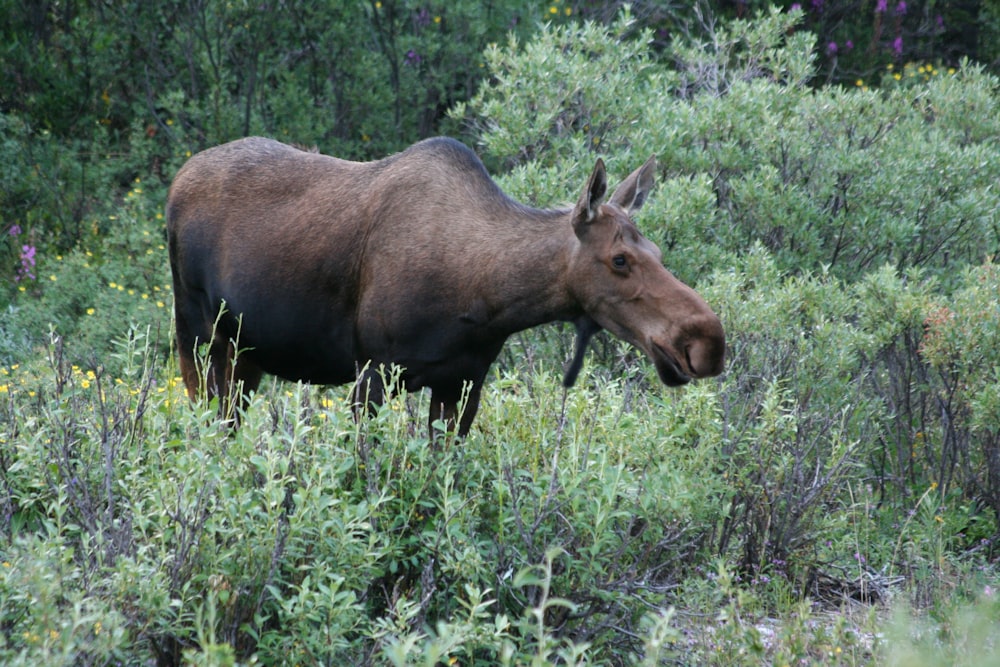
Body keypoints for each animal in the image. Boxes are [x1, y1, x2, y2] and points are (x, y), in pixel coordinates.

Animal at [166, 138, 728, 436]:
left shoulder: (462, 385)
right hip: (194, 332)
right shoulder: (373, 372)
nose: (708, 341)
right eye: (619, 259)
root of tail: (177, 180)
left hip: (247, 351)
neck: (488, 303)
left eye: (658, 253)